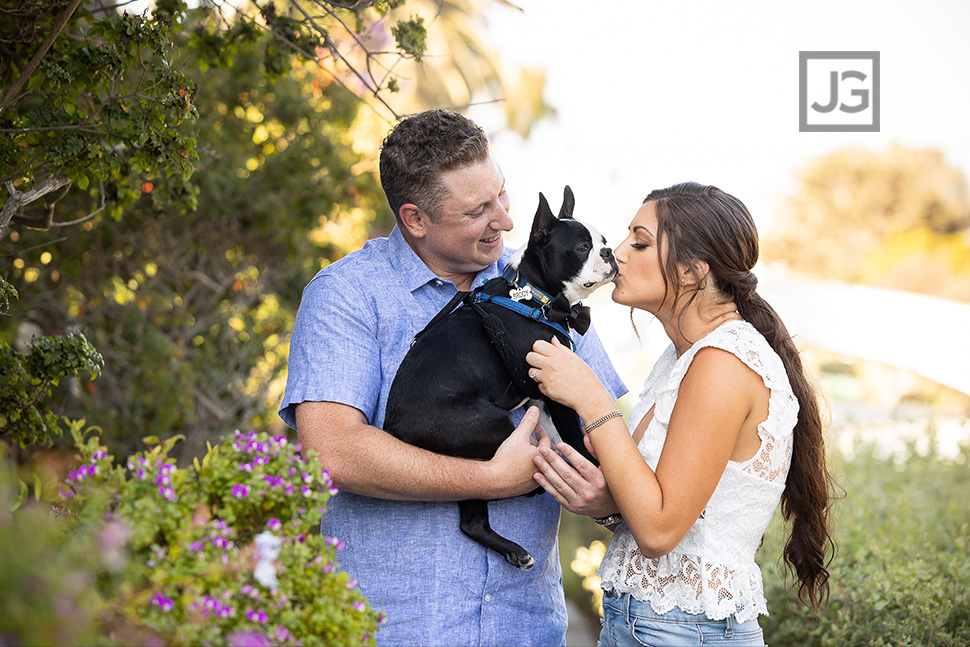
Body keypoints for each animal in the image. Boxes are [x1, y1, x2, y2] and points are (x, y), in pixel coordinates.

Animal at [382, 186, 616, 568]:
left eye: (604, 242)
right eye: (583, 248)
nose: (610, 253)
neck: (535, 296)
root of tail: (395, 428)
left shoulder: (541, 397)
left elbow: (561, 439)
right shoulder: (553, 388)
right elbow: (576, 441)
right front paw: (594, 470)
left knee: (470, 520)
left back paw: (513, 551)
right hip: (490, 429)